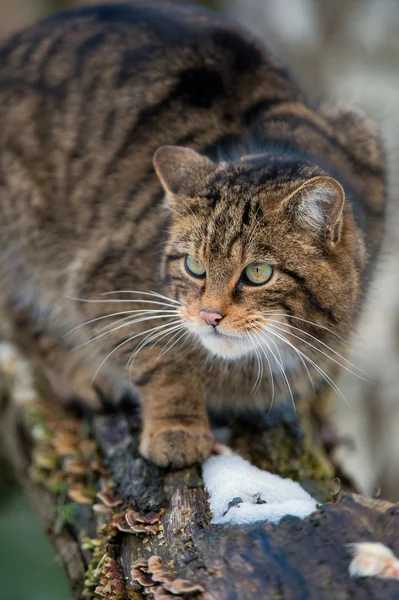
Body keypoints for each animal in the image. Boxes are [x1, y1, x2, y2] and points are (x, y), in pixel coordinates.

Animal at [0, 1, 388, 468]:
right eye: (194, 266)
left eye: (258, 273)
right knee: (23, 314)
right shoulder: (106, 285)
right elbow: (160, 359)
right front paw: (178, 428)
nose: (209, 316)